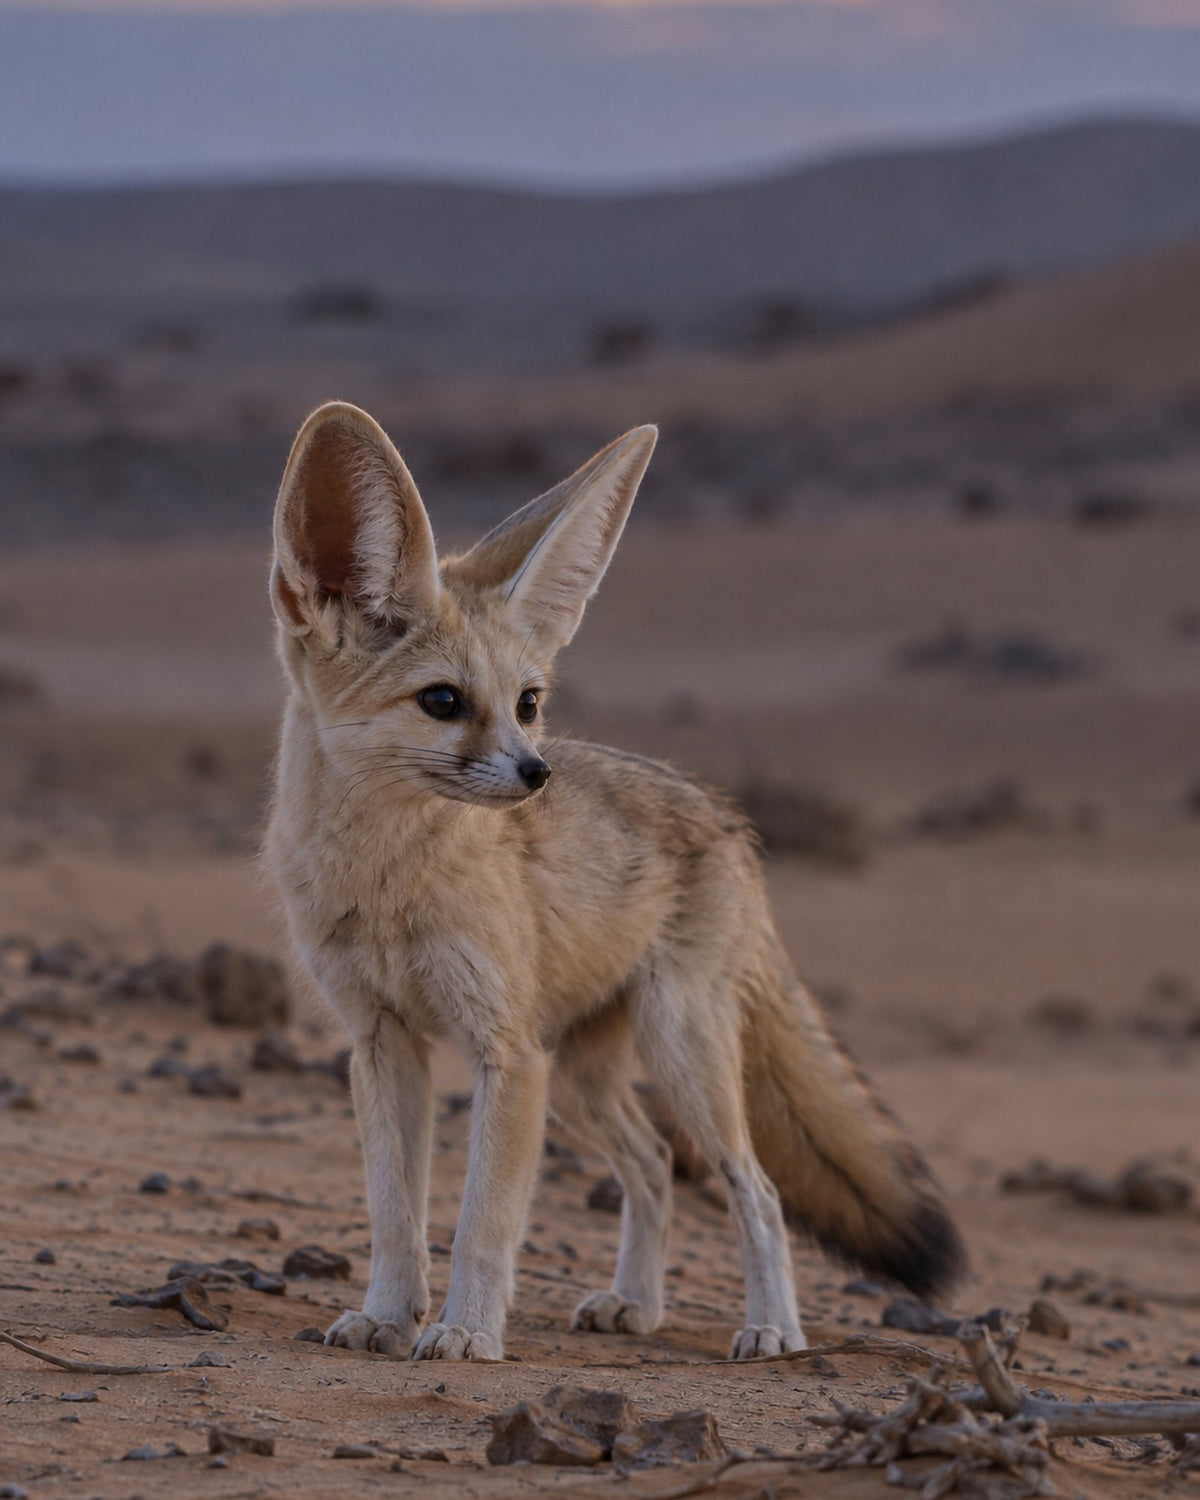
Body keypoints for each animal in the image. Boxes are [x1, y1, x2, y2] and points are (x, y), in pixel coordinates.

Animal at [265, 400, 965, 1363]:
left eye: (527, 702)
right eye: (442, 702)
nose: (536, 775)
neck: (387, 884)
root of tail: (726, 817)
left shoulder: (505, 1053)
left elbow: (484, 1222)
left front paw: (465, 1331)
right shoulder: (380, 1042)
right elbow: (393, 1214)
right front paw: (386, 1315)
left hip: (676, 1054)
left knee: (756, 1188)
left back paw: (773, 1329)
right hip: (582, 1079)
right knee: (653, 1165)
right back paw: (637, 1303)